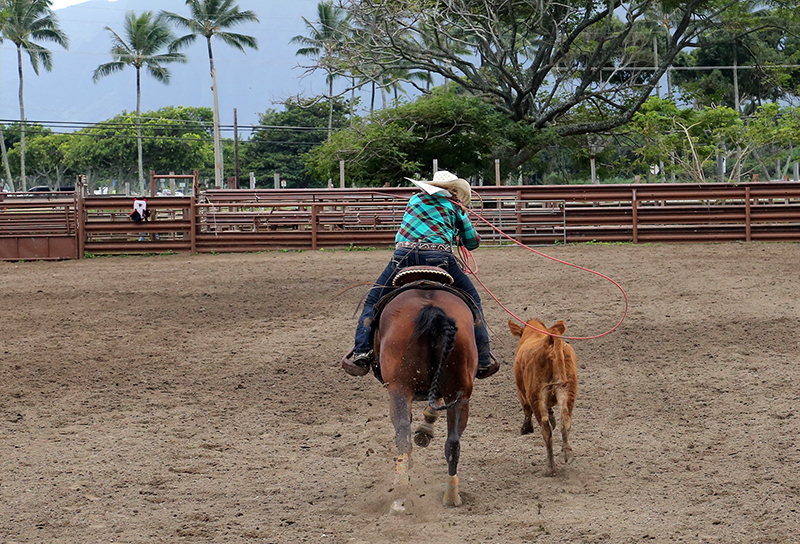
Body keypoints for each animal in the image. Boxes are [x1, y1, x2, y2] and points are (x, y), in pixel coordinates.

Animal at [374, 282, 478, 512]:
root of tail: (433, 310)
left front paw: (424, 431)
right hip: (459, 391)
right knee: (453, 442)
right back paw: (450, 496)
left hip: (399, 387)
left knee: (402, 433)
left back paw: (401, 487)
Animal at [510, 318, 580, 476]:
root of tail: (550, 342)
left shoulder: (522, 392)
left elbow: (526, 410)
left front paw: (526, 428)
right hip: (568, 389)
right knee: (565, 421)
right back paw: (567, 453)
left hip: (536, 395)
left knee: (546, 429)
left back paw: (550, 467)